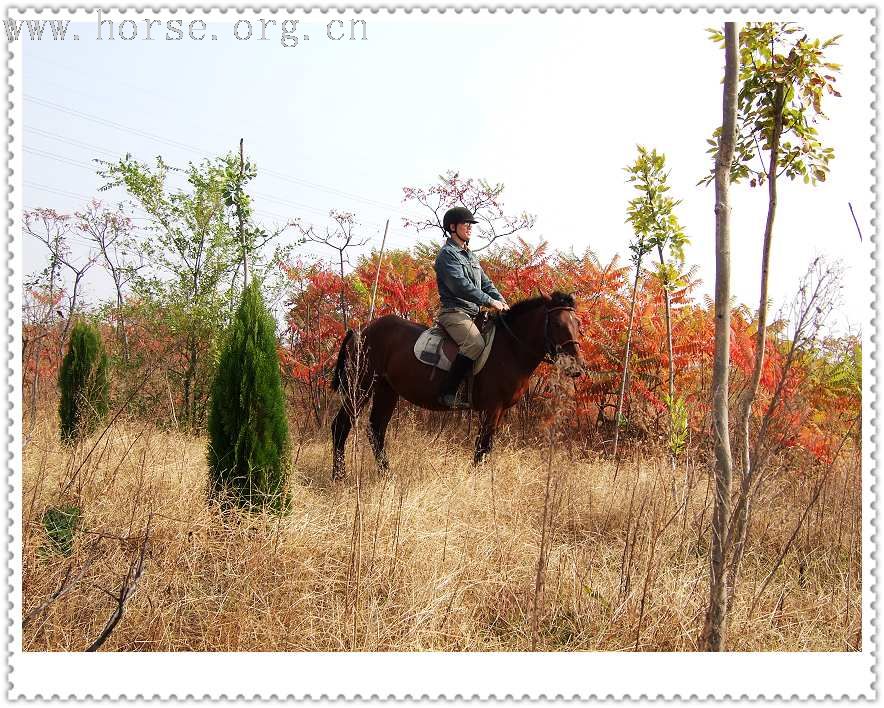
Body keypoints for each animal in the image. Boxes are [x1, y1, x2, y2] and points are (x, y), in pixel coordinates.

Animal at [328, 290, 584, 482]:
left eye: (577, 323)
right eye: (558, 324)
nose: (577, 367)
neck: (509, 348)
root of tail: (360, 330)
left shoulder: (499, 411)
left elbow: (486, 448)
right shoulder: (491, 409)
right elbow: (482, 448)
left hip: (386, 390)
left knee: (376, 430)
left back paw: (386, 475)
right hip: (360, 387)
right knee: (341, 426)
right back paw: (339, 477)